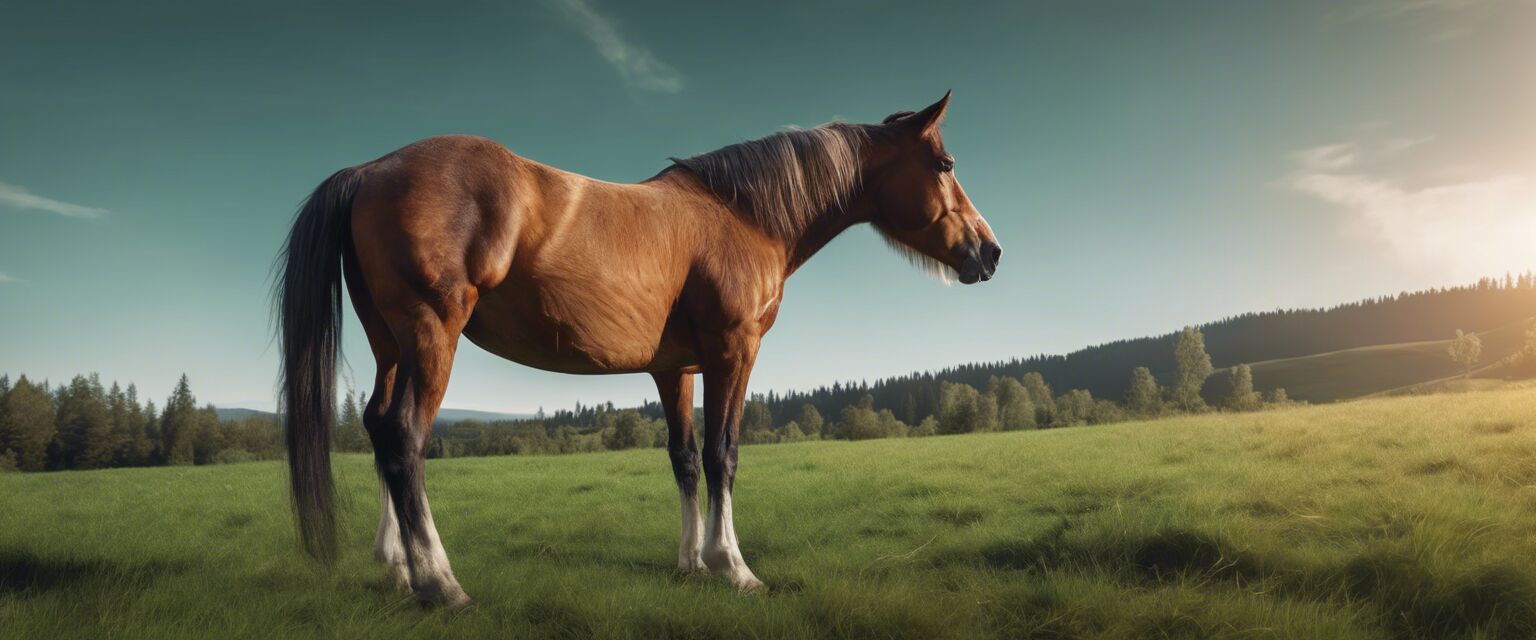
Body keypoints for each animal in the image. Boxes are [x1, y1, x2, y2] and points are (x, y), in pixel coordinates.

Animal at [274, 89, 1001, 604]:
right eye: (945, 164)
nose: (989, 252)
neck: (742, 216)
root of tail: (372, 169)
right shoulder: (733, 353)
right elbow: (723, 455)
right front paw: (733, 567)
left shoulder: (674, 370)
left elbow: (683, 460)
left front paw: (691, 565)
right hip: (431, 335)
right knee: (405, 438)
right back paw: (439, 582)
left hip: (391, 345)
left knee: (377, 428)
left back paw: (396, 567)